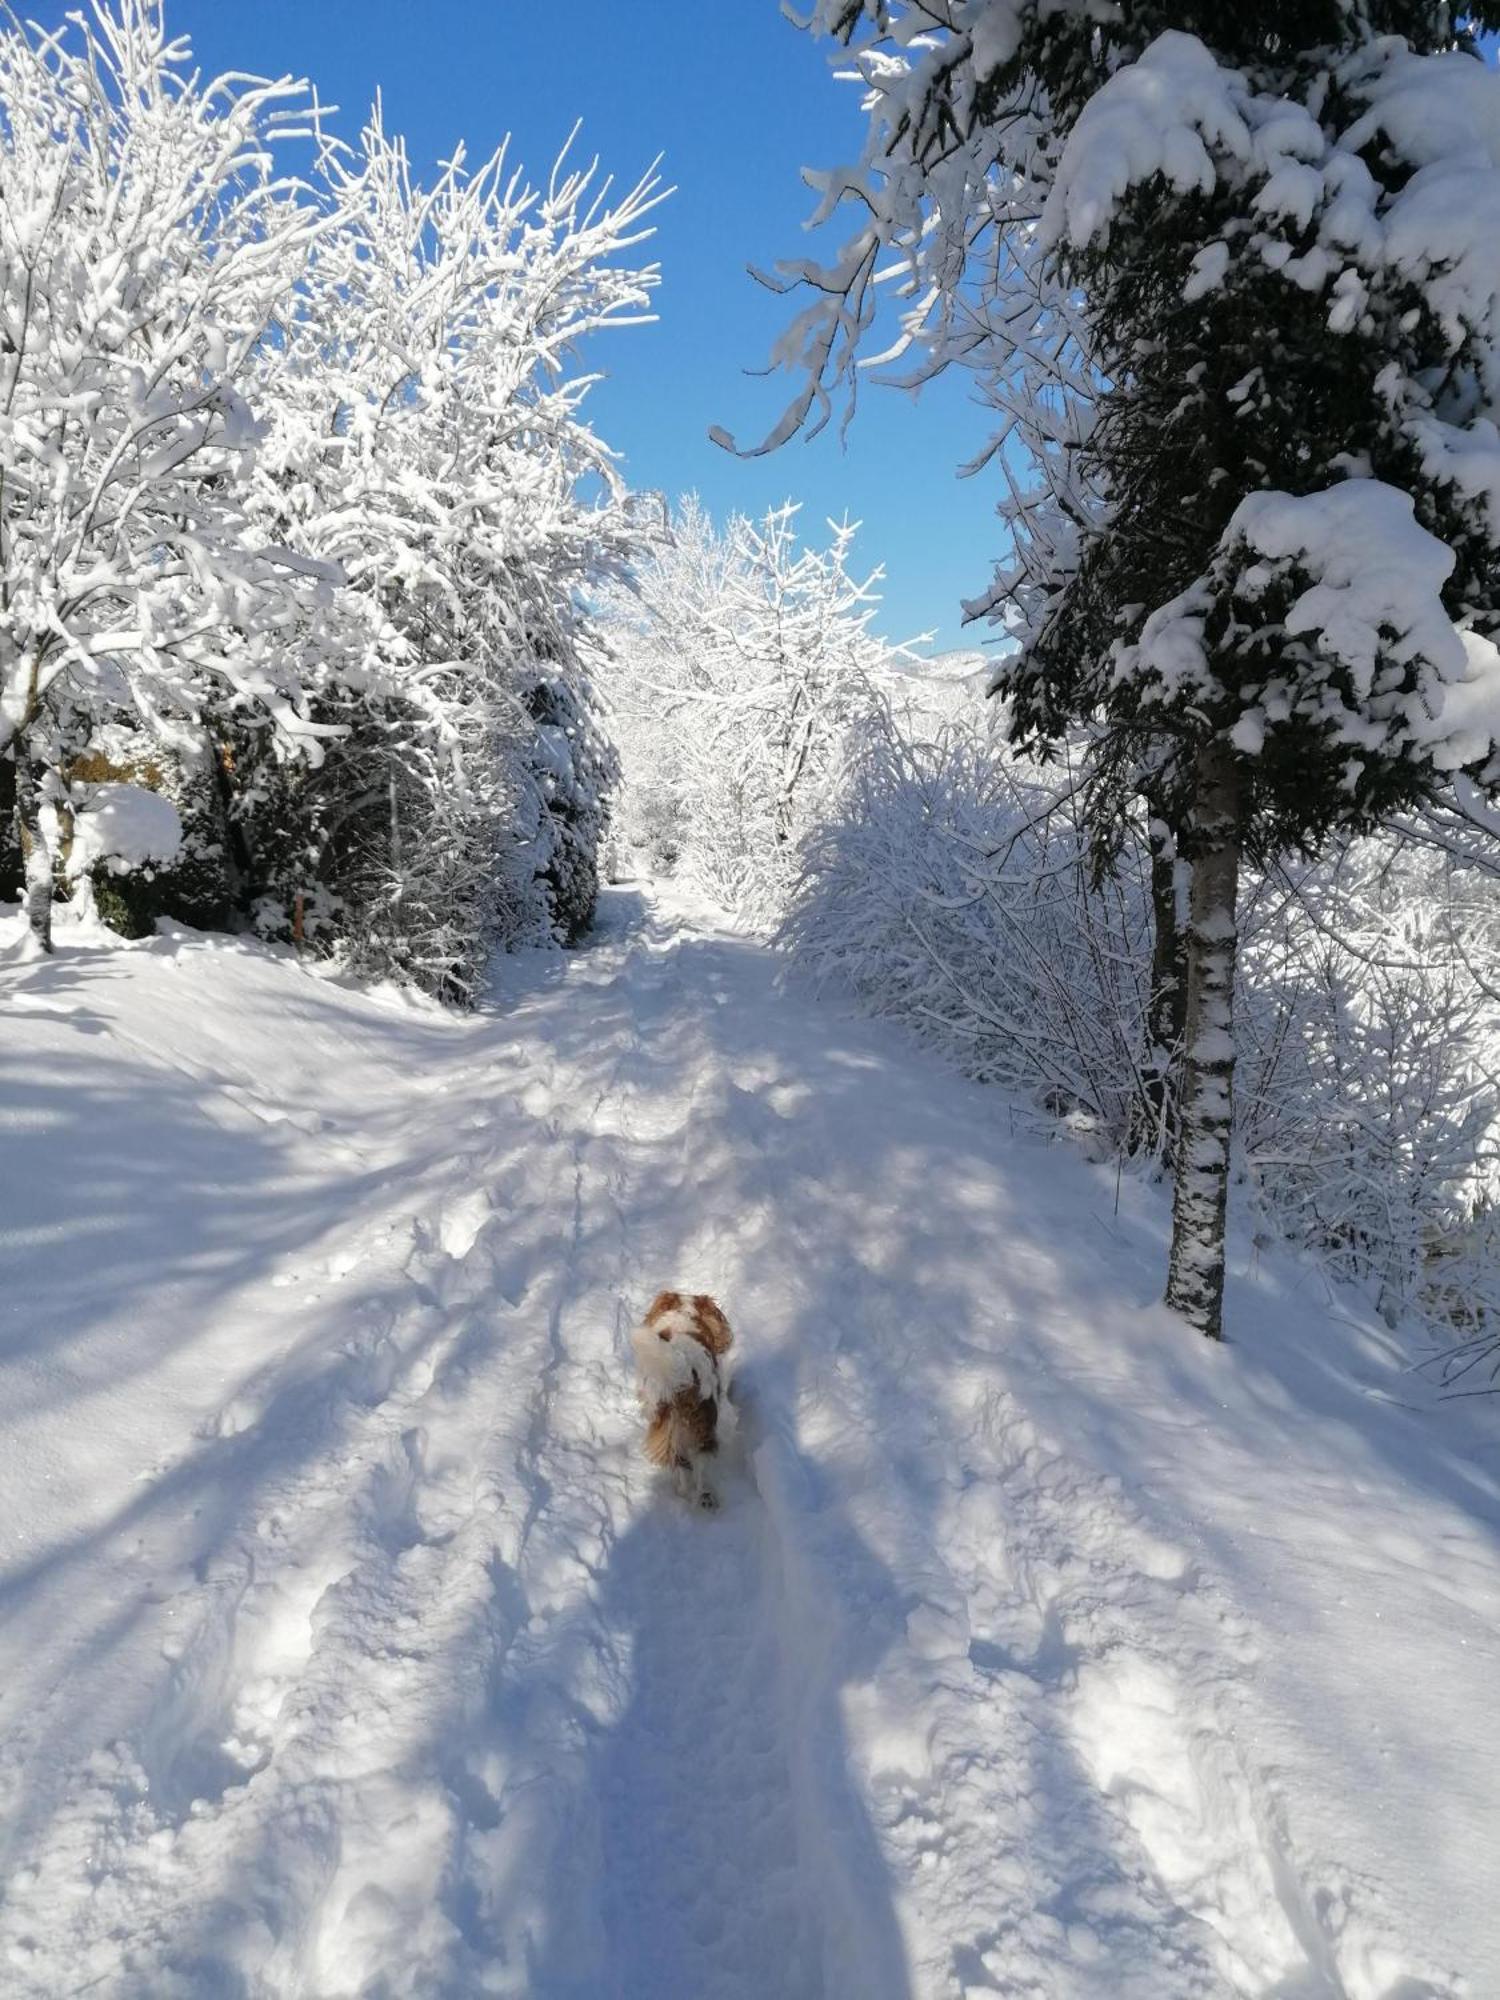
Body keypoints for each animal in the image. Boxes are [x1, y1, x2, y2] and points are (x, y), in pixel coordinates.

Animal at [628, 1288, 736, 1504]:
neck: (684, 1314)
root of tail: (684, 1366)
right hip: (698, 1425)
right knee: (697, 1465)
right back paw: (704, 1497)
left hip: (670, 1424)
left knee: (684, 1465)